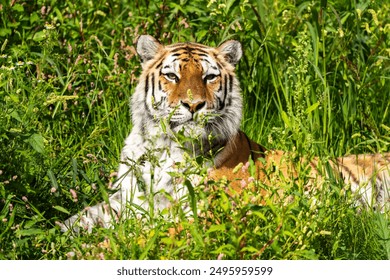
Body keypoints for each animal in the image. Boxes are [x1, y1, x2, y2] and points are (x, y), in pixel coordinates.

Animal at [59, 34, 388, 232]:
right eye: (172, 76)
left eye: (209, 77)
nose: (193, 104)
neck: (164, 147)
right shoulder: (127, 197)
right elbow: (84, 216)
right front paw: (58, 237)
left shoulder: (202, 211)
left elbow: (146, 233)